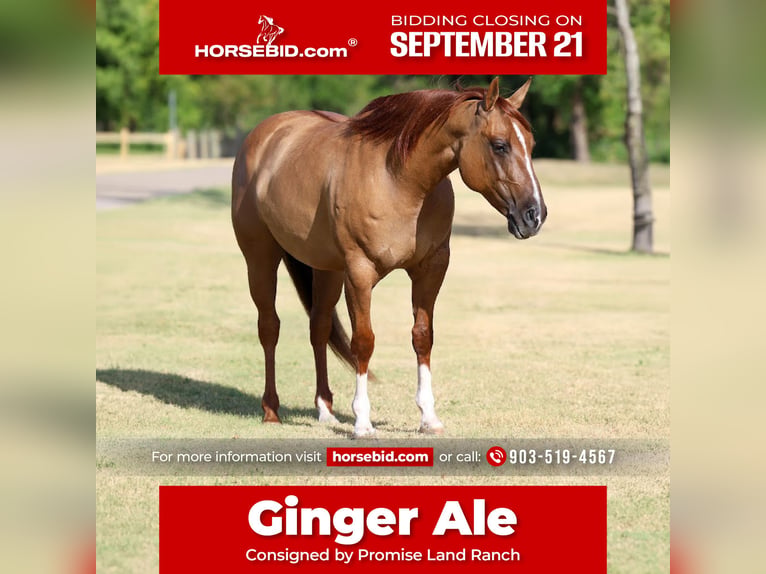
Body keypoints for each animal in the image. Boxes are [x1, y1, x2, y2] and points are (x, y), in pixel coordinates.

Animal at [231, 77, 546, 437]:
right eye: (500, 145)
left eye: (530, 144)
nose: (535, 215)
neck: (400, 181)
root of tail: (264, 135)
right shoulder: (359, 273)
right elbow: (363, 342)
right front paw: (362, 422)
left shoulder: (431, 268)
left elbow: (423, 336)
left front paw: (428, 417)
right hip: (260, 258)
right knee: (269, 326)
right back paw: (271, 410)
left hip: (325, 269)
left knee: (319, 327)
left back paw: (325, 410)